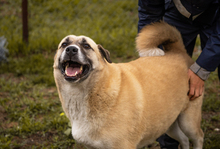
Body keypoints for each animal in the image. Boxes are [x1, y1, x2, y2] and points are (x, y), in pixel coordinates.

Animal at [52, 21, 203, 148]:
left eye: (86, 46)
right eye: (64, 44)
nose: (71, 50)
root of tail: (178, 51)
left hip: (188, 122)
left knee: (199, 137)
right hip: (168, 124)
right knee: (184, 139)